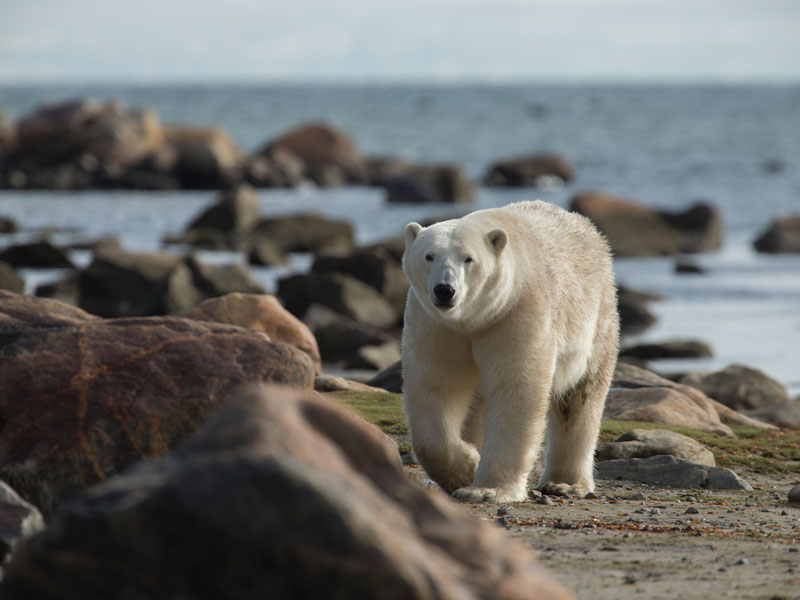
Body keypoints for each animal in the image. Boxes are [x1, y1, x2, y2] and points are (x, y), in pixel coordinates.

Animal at [404, 200, 620, 502]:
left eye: (468, 259)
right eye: (429, 256)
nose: (444, 290)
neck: (474, 319)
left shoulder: (516, 312)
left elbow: (516, 388)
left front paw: (486, 489)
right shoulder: (436, 325)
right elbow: (436, 385)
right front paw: (467, 468)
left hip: (596, 317)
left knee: (579, 397)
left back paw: (565, 483)